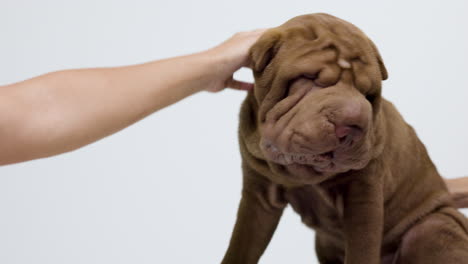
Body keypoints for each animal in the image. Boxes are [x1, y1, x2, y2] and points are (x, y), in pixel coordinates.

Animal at [221, 13, 468, 264]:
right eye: (308, 77)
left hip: (432, 226)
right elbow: (240, 246)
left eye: (368, 95)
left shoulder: (363, 195)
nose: (352, 122)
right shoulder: (258, 195)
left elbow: (362, 250)